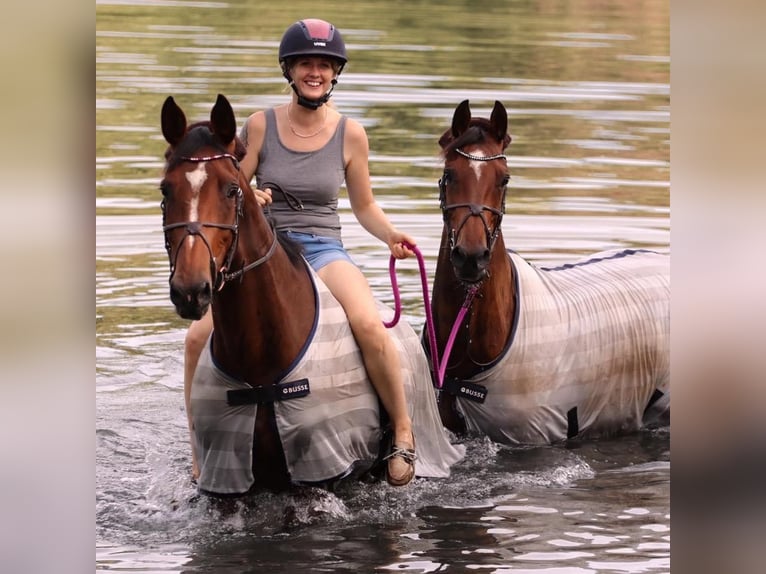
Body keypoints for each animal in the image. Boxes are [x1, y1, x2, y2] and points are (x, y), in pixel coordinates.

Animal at [159, 93, 464, 496]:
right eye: (165, 189)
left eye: (231, 189)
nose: (190, 290)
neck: (261, 361)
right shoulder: (226, 481)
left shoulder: (321, 472)